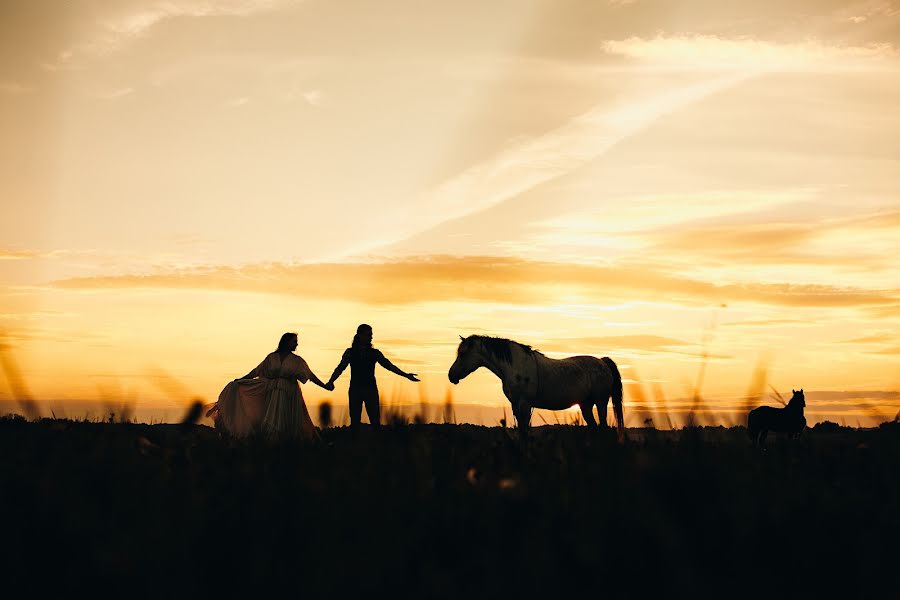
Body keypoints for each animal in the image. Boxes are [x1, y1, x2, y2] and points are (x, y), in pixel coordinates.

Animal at [446, 336, 624, 438]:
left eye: (463, 354)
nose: (451, 376)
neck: (515, 365)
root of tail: (602, 362)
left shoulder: (525, 403)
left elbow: (525, 430)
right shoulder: (515, 404)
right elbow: (521, 430)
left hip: (600, 402)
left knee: (603, 427)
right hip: (585, 405)